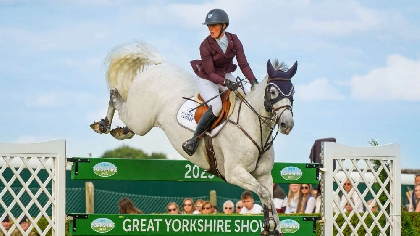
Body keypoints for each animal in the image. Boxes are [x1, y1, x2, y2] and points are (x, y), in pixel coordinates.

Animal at [90, 41, 296, 235]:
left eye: (292, 92)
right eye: (273, 92)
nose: (287, 125)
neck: (253, 126)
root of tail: (160, 65)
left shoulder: (264, 175)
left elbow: (268, 197)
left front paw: (273, 226)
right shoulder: (235, 172)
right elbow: (264, 194)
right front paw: (270, 225)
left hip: (139, 119)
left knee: (125, 117)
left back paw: (121, 131)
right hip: (141, 120)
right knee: (115, 96)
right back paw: (103, 125)